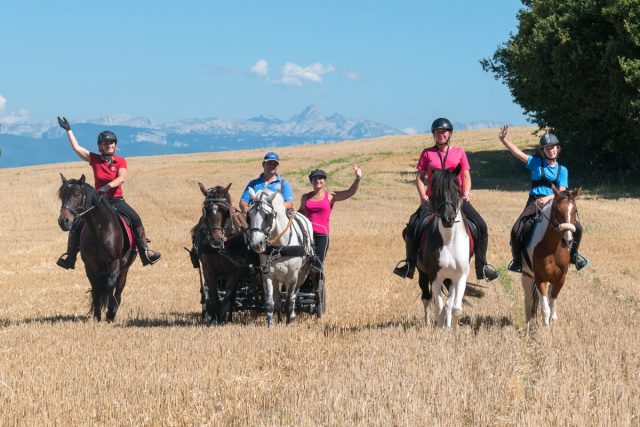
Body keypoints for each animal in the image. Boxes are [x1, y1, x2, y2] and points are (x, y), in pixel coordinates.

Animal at [56, 174, 136, 320]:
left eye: (77, 194)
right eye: (62, 196)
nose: (63, 221)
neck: (99, 229)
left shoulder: (115, 262)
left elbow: (109, 285)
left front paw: (110, 311)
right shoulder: (90, 266)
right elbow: (96, 290)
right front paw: (97, 316)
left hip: (124, 269)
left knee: (117, 291)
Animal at [190, 182, 260, 326]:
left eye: (225, 211)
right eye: (205, 210)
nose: (216, 239)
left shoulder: (234, 272)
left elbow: (227, 296)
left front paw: (222, 319)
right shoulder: (208, 272)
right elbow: (214, 296)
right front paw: (213, 320)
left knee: (232, 296)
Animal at [246, 189, 314, 326]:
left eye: (267, 216)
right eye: (248, 216)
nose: (256, 244)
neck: (280, 247)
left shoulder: (292, 276)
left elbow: (288, 301)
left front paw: (288, 323)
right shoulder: (268, 275)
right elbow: (270, 302)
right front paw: (271, 325)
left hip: (302, 274)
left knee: (294, 296)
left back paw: (292, 316)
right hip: (277, 278)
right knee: (277, 298)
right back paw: (279, 319)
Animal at [412, 166, 482, 330]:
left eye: (457, 189)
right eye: (436, 190)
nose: (448, 218)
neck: (449, 240)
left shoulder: (460, 276)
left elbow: (455, 307)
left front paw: (453, 329)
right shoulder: (434, 276)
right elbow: (439, 307)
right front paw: (439, 329)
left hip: (450, 278)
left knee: (449, 303)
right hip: (423, 273)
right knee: (426, 298)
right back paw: (428, 323)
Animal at [520, 186, 580, 332]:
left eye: (575, 210)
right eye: (557, 211)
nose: (568, 241)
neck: (553, 249)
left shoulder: (560, 279)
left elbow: (552, 305)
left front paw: (551, 324)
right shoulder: (540, 279)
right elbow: (545, 308)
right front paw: (545, 330)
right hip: (526, 276)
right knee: (529, 301)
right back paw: (527, 327)